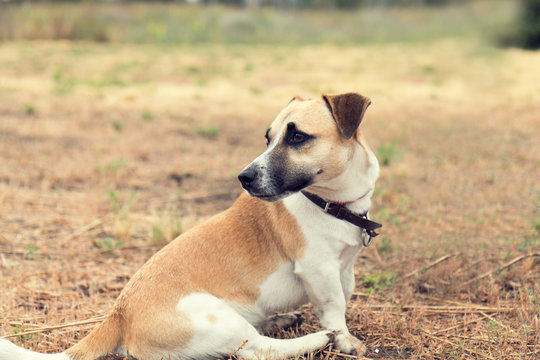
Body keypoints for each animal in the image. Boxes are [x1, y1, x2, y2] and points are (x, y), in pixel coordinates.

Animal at [0, 93, 380, 360]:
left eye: (298, 136)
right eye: (269, 138)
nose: (243, 178)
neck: (332, 204)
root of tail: (118, 316)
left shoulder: (344, 267)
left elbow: (343, 295)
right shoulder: (319, 269)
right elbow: (334, 307)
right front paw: (343, 339)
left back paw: (281, 320)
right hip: (217, 318)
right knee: (256, 347)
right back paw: (314, 338)